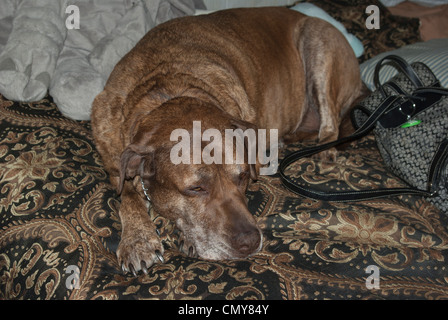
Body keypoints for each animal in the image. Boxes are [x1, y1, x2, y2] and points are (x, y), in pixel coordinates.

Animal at [90, 8, 364, 276]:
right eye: (195, 188)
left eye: (242, 177)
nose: (250, 242)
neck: (168, 89)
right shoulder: (114, 163)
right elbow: (127, 196)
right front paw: (137, 239)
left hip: (318, 44)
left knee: (330, 124)